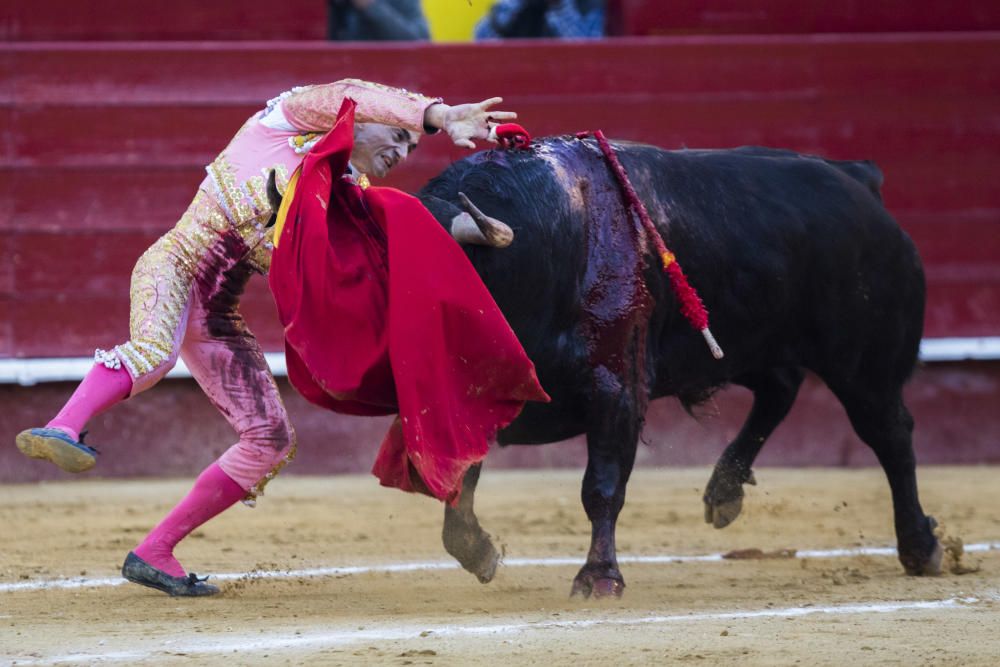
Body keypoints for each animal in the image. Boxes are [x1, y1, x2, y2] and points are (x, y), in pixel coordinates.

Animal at [412, 138, 936, 596]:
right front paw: (482, 554)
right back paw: (724, 492)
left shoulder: (616, 391)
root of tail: (858, 179)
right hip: (737, 342)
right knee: (780, 388)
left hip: (865, 366)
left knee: (889, 434)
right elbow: (457, 487)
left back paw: (920, 547)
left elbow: (601, 487)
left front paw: (600, 578)